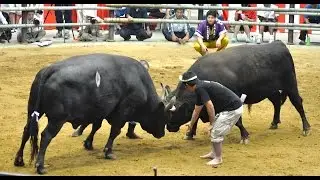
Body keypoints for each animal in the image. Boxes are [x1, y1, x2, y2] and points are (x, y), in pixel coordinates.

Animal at [13, 53, 171, 174]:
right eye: (163, 116)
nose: (162, 133)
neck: (140, 81)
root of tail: (50, 69)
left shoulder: (100, 111)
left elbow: (96, 126)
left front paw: (88, 144)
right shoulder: (122, 112)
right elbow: (115, 131)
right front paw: (108, 152)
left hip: (33, 111)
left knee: (26, 130)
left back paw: (19, 160)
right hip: (57, 120)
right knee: (46, 136)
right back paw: (40, 166)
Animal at [164, 40, 312, 141]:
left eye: (174, 112)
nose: (169, 127)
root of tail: (279, 44)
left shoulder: (233, 99)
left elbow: (238, 121)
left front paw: (244, 135)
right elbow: (195, 117)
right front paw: (189, 134)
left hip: (290, 85)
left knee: (298, 103)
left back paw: (306, 128)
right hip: (271, 90)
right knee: (276, 102)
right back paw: (274, 123)